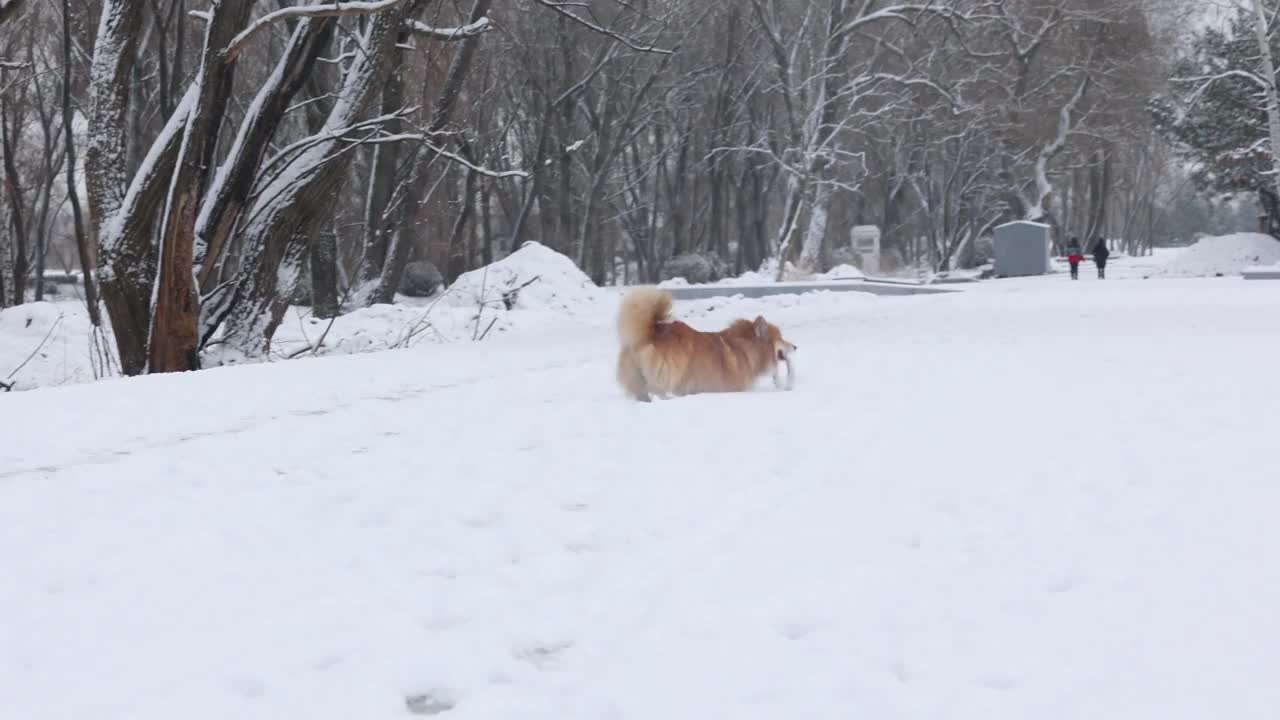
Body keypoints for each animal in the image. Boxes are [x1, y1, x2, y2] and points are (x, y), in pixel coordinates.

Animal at [614, 284, 793, 397]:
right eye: (781, 338)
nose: (796, 347)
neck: (745, 349)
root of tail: (650, 331)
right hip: (670, 372)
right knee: (658, 389)